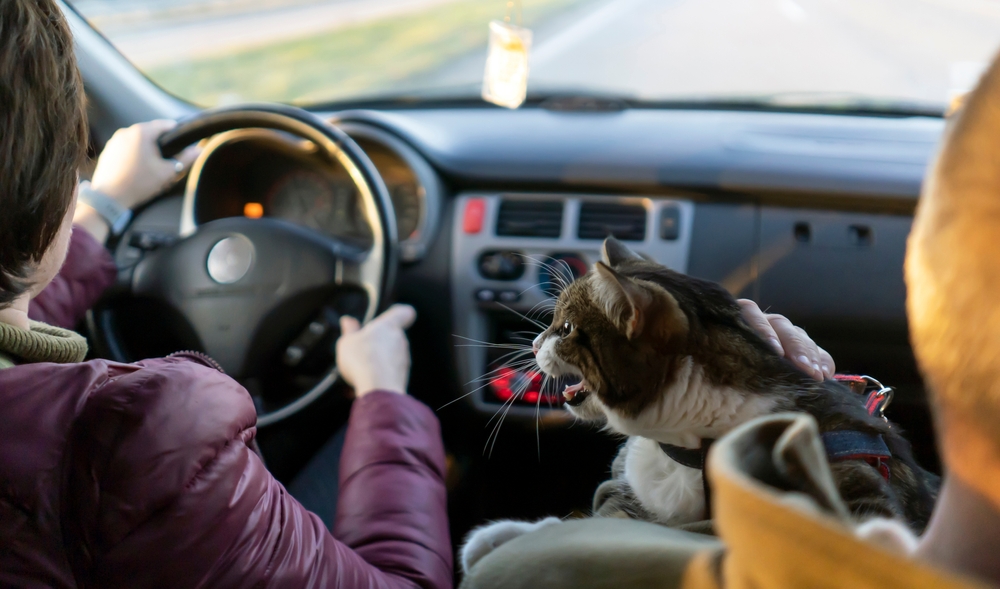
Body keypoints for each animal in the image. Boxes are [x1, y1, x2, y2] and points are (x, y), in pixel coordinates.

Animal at [460, 235, 936, 576]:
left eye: (565, 329)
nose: (534, 343)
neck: (694, 442)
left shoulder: (852, 473)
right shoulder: (642, 502)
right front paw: (503, 534)